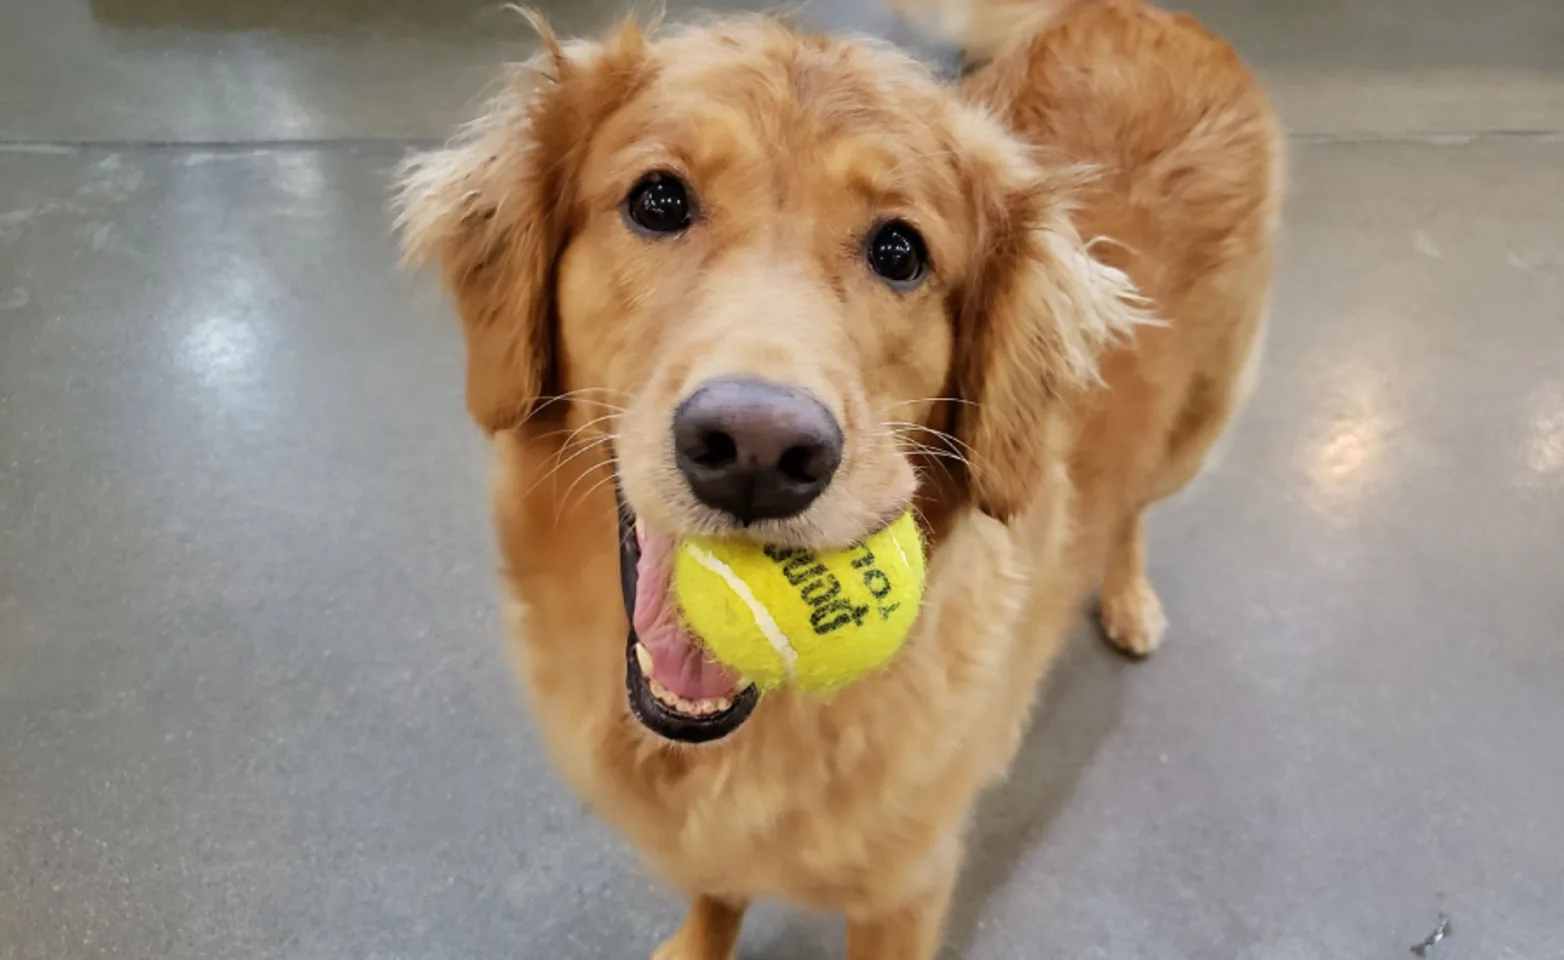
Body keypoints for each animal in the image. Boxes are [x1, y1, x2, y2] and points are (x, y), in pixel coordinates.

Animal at [397, 0, 1276, 956]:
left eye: (899, 251)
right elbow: (715, 894)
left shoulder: (907, 893)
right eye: (658, 200)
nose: (758, 451)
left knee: (1135, 513)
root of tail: (1147, 11)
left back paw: (1128, 598)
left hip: (1198, 423)